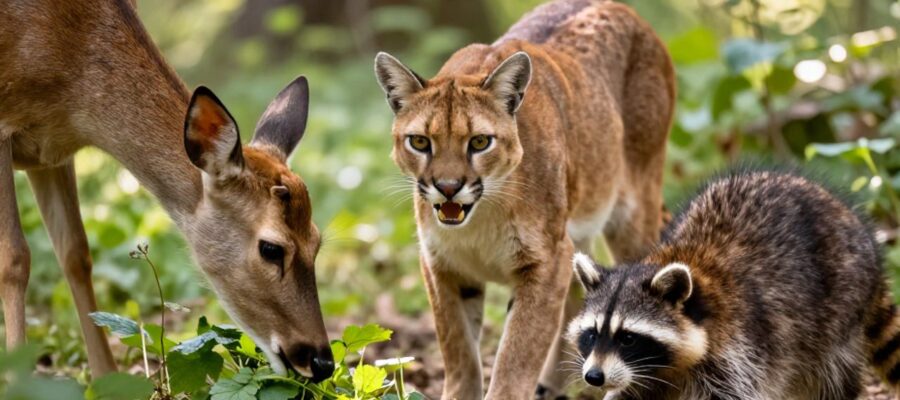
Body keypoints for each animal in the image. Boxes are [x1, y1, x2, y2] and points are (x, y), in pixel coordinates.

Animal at [0, 0, 335, 381]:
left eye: (316, 241)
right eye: (271, 248)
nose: (322, 361)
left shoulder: (52, 152)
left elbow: (76, 254)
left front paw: (107, 378)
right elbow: (14, 258)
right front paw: (17, 383)